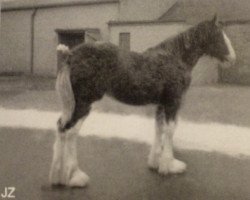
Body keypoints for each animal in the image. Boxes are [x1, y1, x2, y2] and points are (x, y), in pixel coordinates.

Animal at [49, 16, 236, 188]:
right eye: (218, 35)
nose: (232, 58)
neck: (175, 57)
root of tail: (71, 55)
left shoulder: (161, 105)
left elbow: (159, 128)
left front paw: (155, 163)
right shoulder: (172, 102)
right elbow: (170, 130)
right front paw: (170, 166)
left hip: (71, 105)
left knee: (61, 128)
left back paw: (58, 177)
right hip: (83, 104)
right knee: (71, 132)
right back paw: (75, 177)